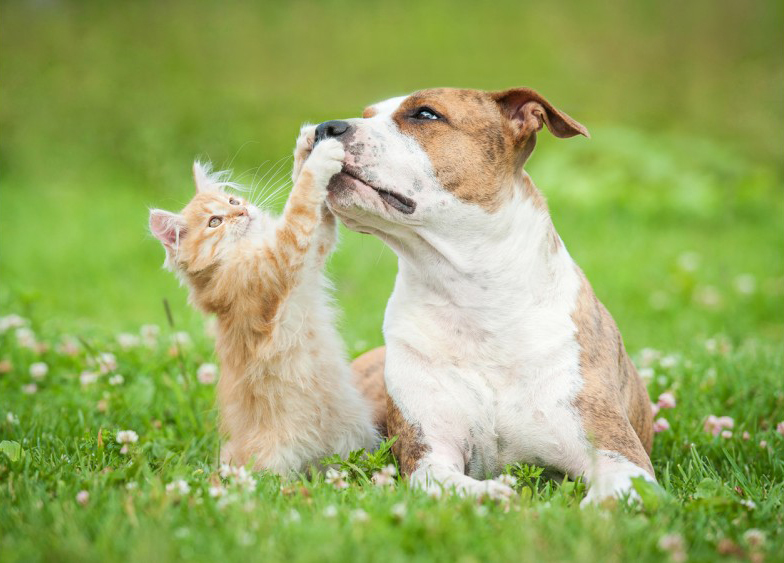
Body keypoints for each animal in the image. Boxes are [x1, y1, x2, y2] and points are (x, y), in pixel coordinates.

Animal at [149, 134, 382, 474]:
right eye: (215, 222)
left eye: (233, 202)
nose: (242, 213)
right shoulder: (277, 260)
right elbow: (300, 204)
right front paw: (320, 158)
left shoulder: (312, 254)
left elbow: (317, 215)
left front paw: (306, 146)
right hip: (273, 463)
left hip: (356, 438)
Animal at [308, 88, 656, 506]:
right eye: (368, 113)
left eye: (425, 114)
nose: (323, 128)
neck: (474, 300)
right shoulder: (430, 453)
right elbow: (452, 484)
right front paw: (498, 495)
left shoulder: (620, 455)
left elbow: (612, 497)